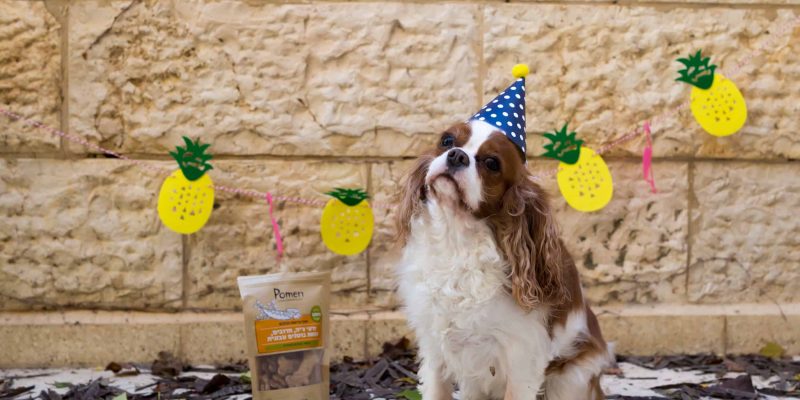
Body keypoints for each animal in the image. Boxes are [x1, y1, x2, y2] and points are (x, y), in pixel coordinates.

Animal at [396, 119, 612, 400]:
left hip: (569, 378)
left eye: (491, 163)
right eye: (447, 141)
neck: (458, 240)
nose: (456, 155)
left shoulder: (522, 356)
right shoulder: (433, 345)